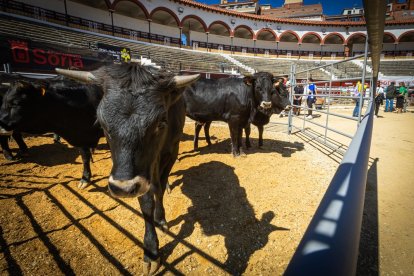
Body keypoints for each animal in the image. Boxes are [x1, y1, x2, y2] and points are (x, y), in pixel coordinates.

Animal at [57, 64, 201, 274]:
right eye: (101, 123)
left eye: (161, 122)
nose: (123, 188)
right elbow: (146, 202)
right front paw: (151, 251)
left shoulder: (171, 152)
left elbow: (159, 188)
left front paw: (161, 219)